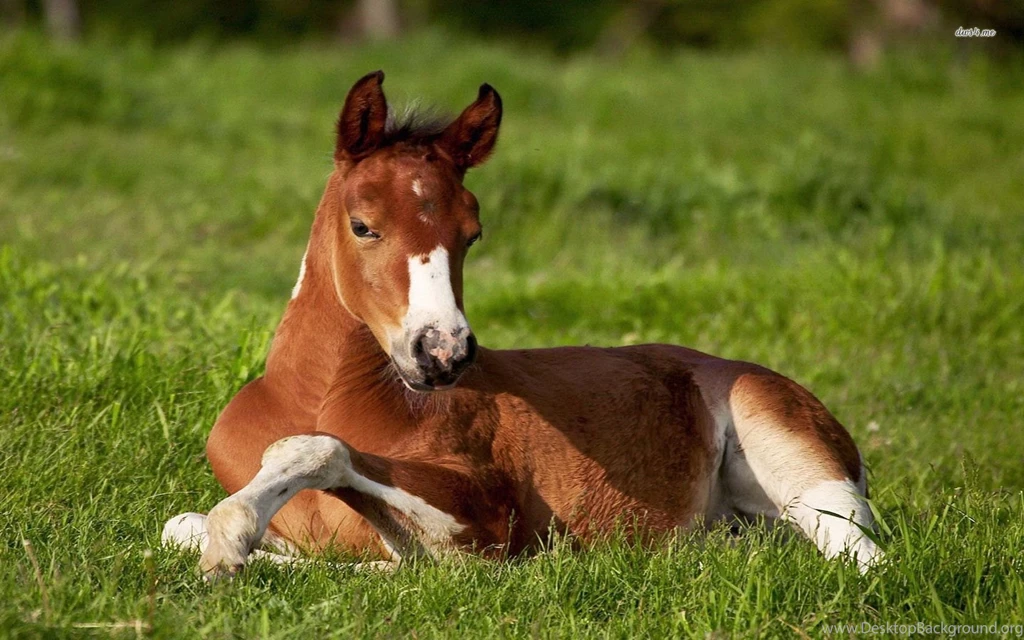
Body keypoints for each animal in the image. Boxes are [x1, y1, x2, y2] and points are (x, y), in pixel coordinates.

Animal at [162, 71, 882, 578]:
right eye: (363, 225)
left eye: (473, 234)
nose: (443, 352)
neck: (318, 396)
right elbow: (177, 527)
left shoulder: (488, 516)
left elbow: (328, 463)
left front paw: (235, 540)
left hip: (799, 462)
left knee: (863, 558)